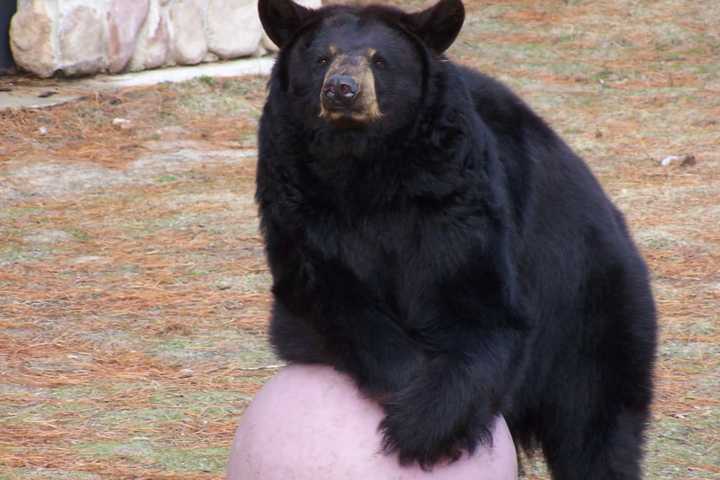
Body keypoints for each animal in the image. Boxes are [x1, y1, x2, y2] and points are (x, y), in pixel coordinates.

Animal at [256, 0, 656, 476]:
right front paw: (407, 389)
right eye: (321, 58)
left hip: (588, 309)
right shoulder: (295, 201)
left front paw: (423, 427)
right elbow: (327, 295)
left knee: (595, 425)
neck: (365, 167)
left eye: (380, 60)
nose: (342, 89)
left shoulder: (453, 196)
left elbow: (482, 308)